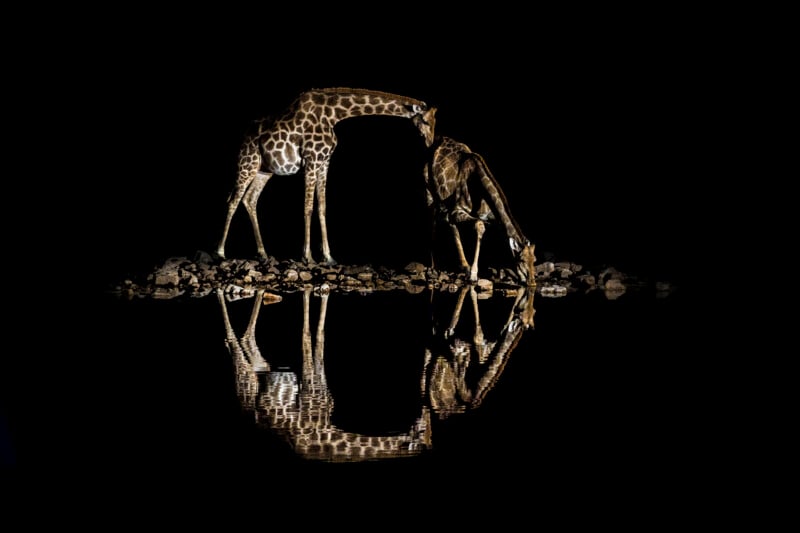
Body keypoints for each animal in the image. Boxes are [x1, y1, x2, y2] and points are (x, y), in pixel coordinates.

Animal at [217, 87, 438, 265]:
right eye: (426, 121)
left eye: (435, 122)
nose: (430, 144)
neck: (334, 115)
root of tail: (244, 135)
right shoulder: (311, 160)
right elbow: (307, 208)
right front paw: (307, 257)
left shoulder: (324, 163)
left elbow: (322, 207)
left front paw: (328, 257)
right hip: (248, 162)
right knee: (232, 200)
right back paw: (220, 252)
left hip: (264, 170)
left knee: (249, 199)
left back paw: (262, 253)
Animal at [217, 286, 431, 462]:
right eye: (423, 432)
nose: (425, 412)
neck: (328, 430)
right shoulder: (311, 385)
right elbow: (309, 334)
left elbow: (319, 334)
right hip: (246, 377)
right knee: (233, 341)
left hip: (261, 368)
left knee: (248, 338)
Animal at [424, 136, 536, 286]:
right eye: (522, 260)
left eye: (534, 260)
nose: (532, 283)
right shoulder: (458, 210)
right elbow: (480, 226)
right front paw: (473, 275)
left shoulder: (491, 217)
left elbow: (506, 238)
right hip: (429, 193)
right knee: (433, 223)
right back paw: (433, 267)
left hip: (446, 204)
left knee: (449, 224)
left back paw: (464, 265)